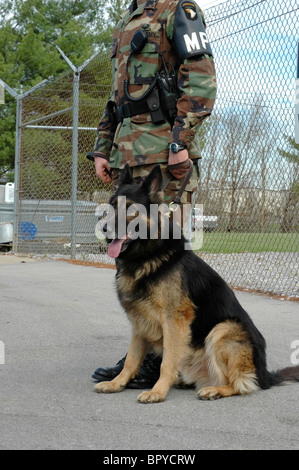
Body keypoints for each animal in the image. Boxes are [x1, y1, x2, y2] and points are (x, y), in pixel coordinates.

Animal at [96, 163, 299, 402]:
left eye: (130, 209)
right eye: (111, 206)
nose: (104, 229)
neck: (148, 255)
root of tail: (265, 373)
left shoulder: (174, 320)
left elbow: (166, 362)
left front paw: (158, 391)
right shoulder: (139, 322)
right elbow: (131, 359)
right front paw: (116, 383)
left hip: (224, 329)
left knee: (241, 385)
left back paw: (215, 390)